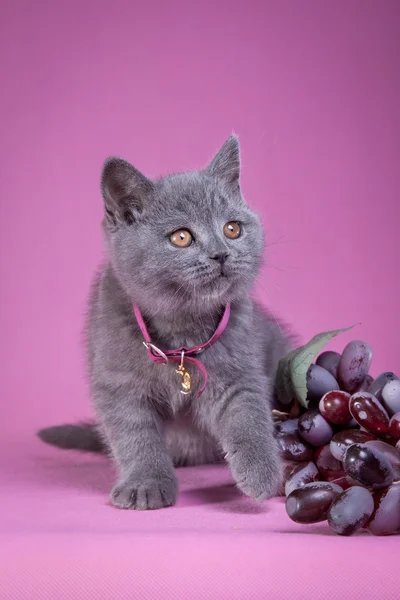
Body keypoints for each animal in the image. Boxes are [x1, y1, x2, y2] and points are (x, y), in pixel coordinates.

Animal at [38, 137, 290, 510]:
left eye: (232, 229)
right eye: (181, 237)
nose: (221, 253)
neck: (181, 328)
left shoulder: (238, 368)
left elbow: (248, 416)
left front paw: (262, 472)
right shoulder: (118, 383)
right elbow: (136, 437)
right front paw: (146, 484)